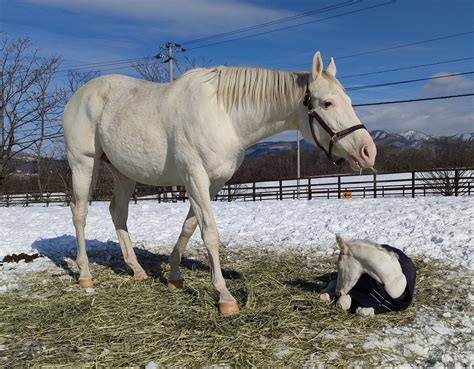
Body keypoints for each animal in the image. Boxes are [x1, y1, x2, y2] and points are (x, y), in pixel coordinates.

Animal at [63, 51, 376, 314]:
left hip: (124, 173)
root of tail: (79, 96)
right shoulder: (195, 177)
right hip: (83, 163)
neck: (224, 114)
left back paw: (136, 269)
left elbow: (190, 227)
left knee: (118, 213)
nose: (368, 151)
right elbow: (210, 233)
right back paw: (85, 275)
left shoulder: (212, 183)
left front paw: (174, 276)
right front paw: (224, 296)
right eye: (327, 103)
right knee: (80, 214)